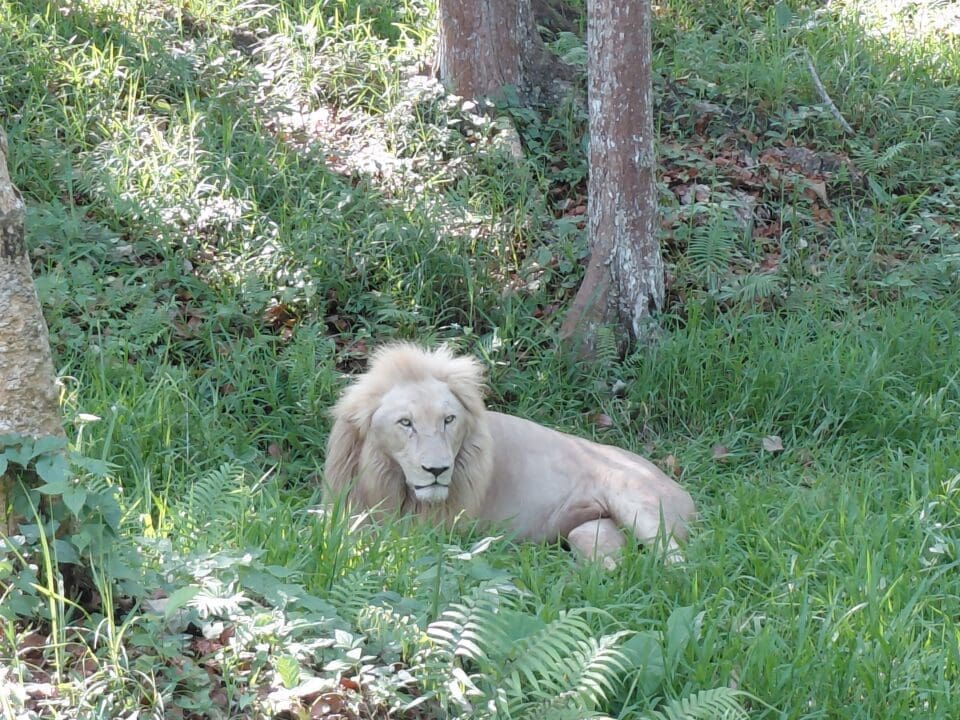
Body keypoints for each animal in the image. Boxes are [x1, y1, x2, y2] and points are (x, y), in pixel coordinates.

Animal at [324, 343, 696, 566]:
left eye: (449, 419)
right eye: (406, 423)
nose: (437, 470)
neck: (386, 478)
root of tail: (685, 493)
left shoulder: (432, 530)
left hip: (637, 502)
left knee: (679, 561)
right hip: (589, 532)